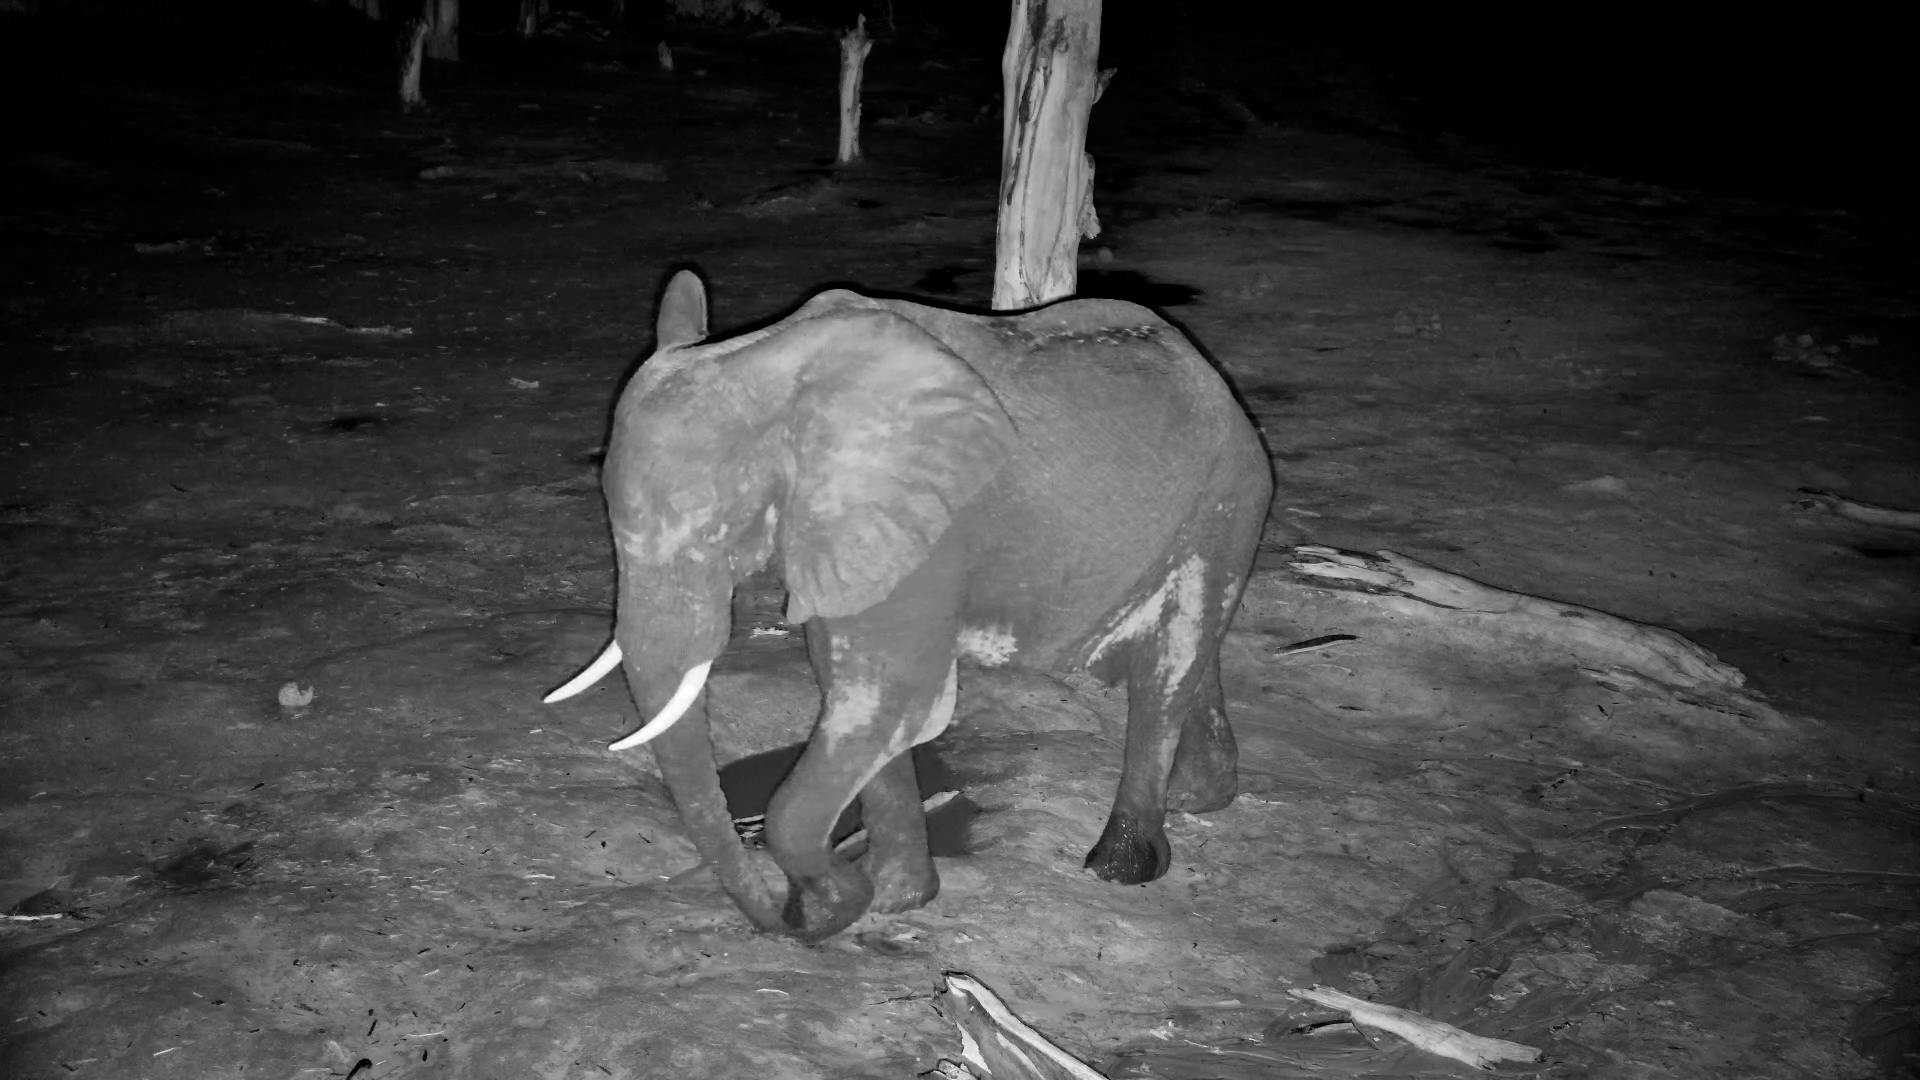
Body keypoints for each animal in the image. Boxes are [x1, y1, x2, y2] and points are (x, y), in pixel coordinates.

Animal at [545, 270, 1273, 940]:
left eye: (717, 533)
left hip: (1226, 496)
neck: (768, 362)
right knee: (1186, 654)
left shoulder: (926, 536)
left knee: (1168, 664)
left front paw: (840, 902)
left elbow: (888, 698)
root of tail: (1210, 372)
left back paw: (1119, 867)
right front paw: (892, 901)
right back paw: (1199, 796)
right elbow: (855, 694)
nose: (785, 918)